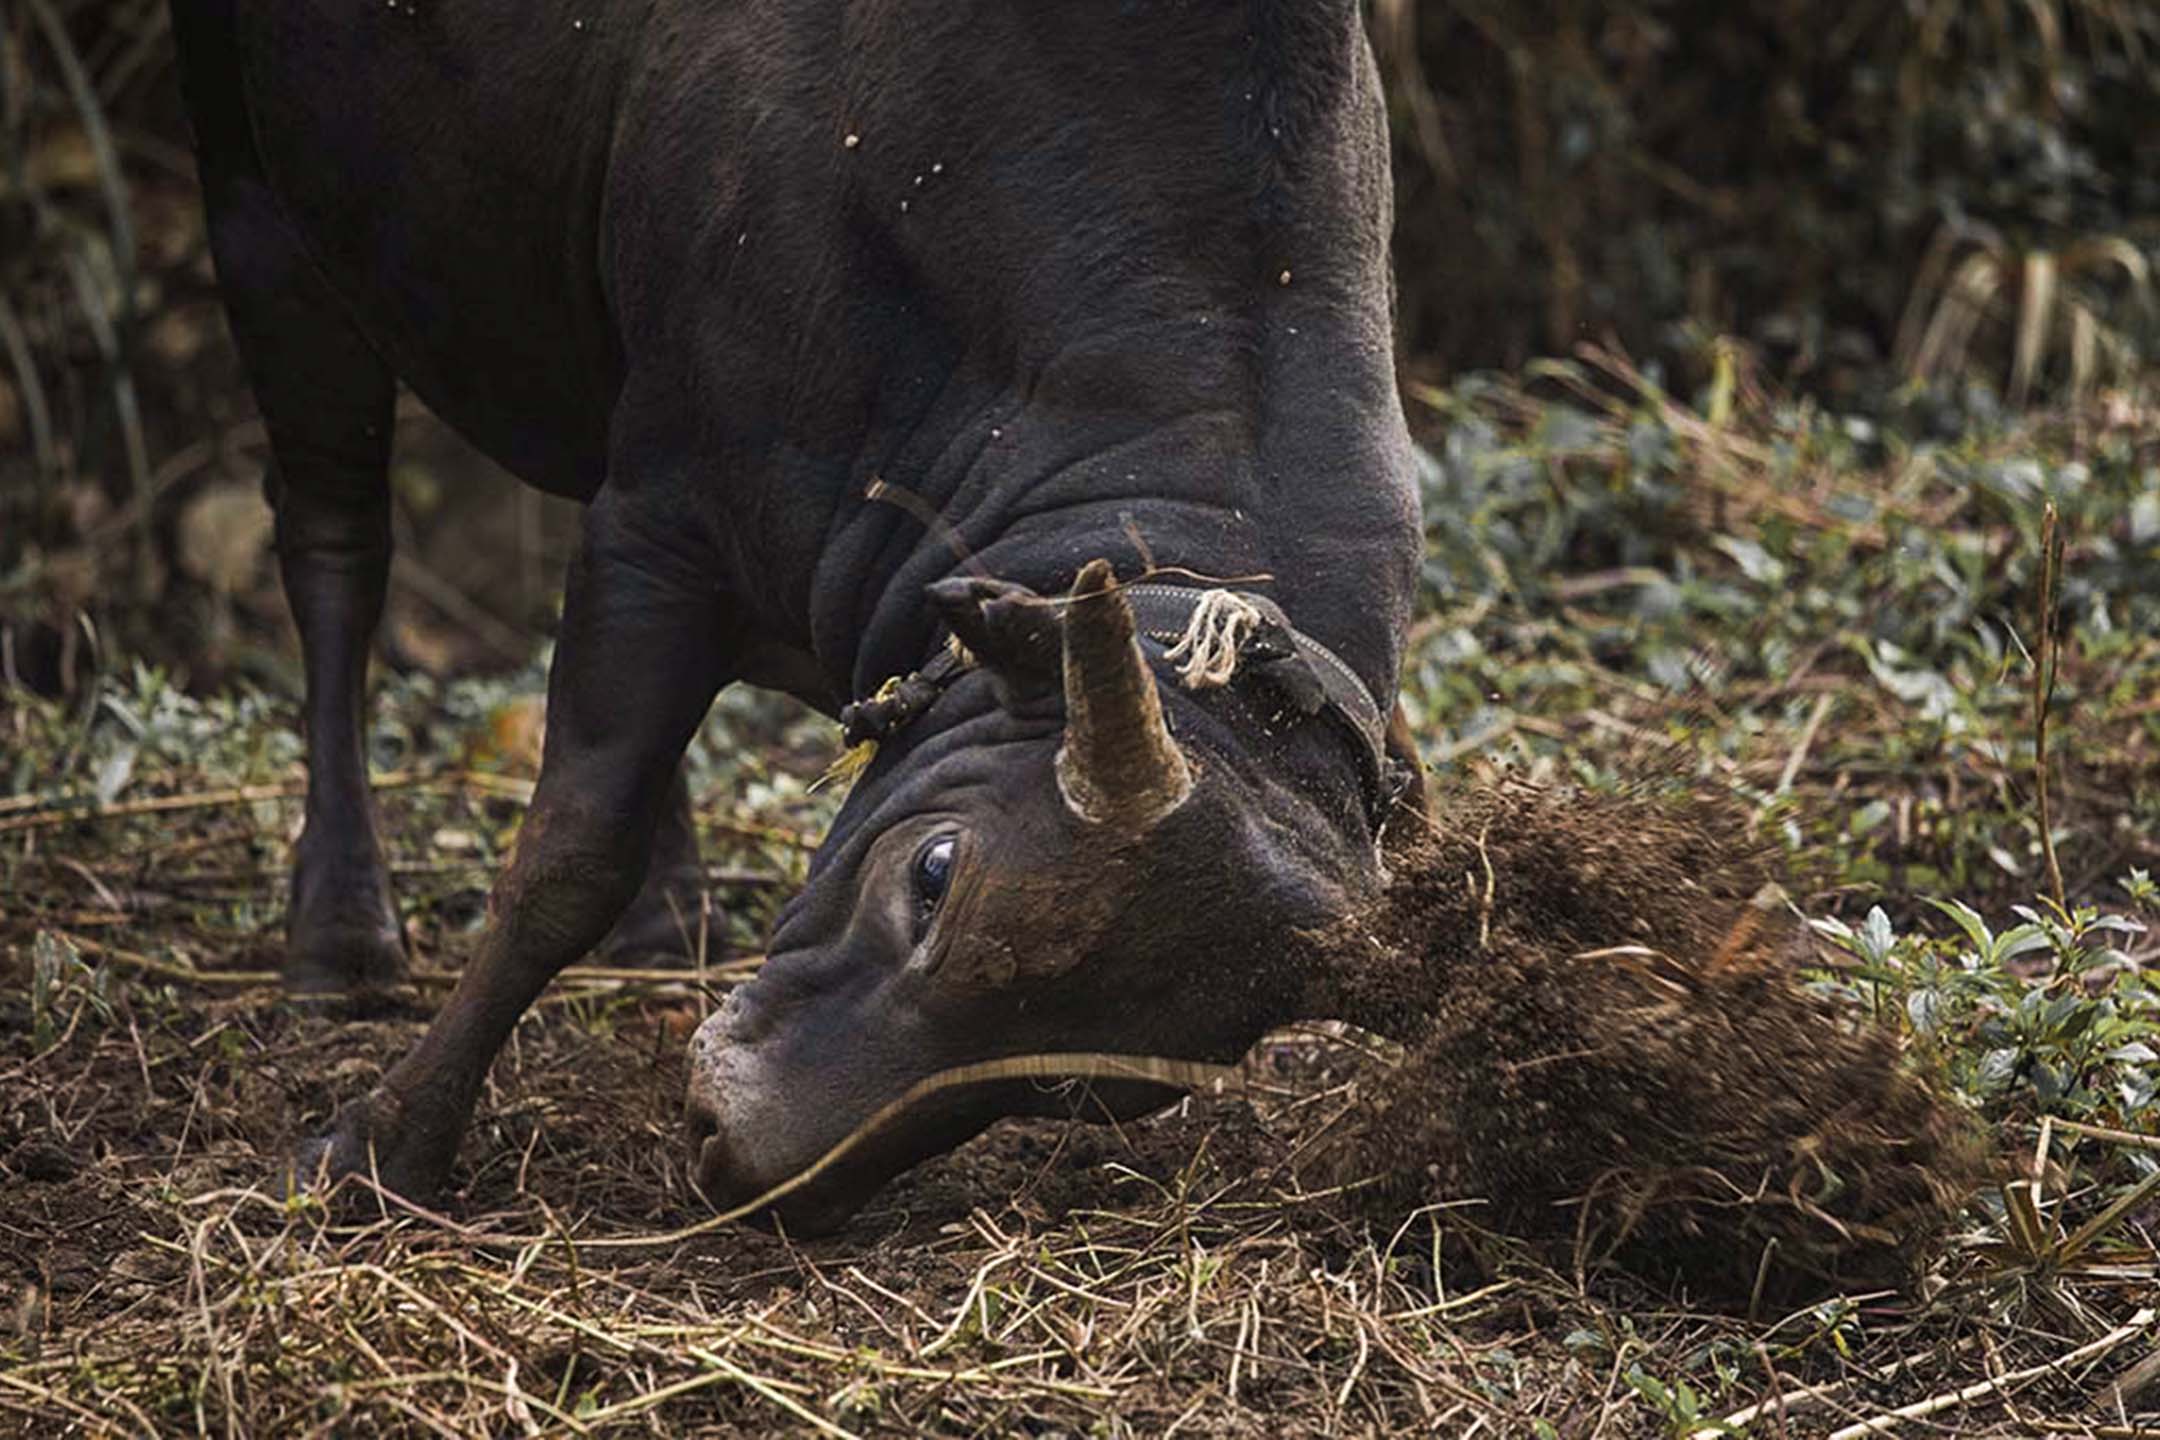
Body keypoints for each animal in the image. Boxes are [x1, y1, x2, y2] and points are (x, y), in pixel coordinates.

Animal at [177, 0, 1425, 1234]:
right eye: (933, 874)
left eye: (1075, 1089)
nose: (739, 1154)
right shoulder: (662, 530)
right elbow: (568, 855)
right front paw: (379, 1143)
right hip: (258, 205)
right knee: (334, 547)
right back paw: (339, 932)